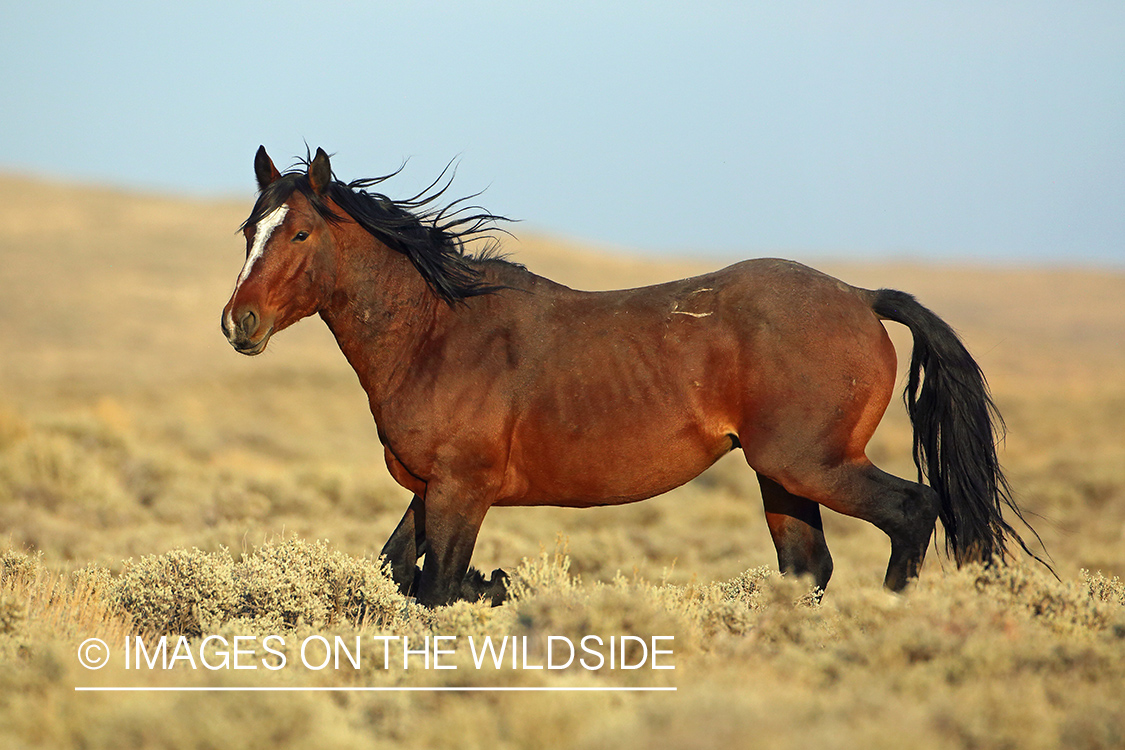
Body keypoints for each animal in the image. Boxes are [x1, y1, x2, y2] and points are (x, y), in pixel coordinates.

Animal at [221, 148, 1044, 611]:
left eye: (300, 232)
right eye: (249, 230)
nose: (239, 323)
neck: (437, 334)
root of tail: (860, 296)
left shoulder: (461, 491)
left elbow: (436, 593)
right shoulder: (428, 490)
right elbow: (396, 575)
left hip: (811, 464)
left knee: (912, 512)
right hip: (782, 476)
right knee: (805, 567)